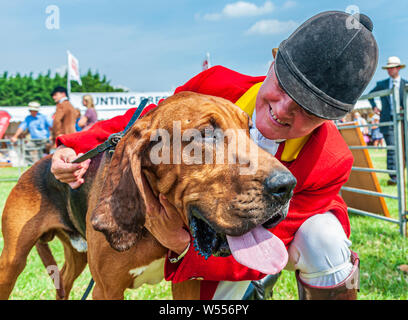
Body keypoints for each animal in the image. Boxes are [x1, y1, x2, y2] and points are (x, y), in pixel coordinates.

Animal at [0, 91, 296, 298]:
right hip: (12, 262)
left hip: (76, 254)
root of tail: (37, 164)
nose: (287, 185)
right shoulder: (106, 290)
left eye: (249, 130)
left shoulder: (187, 285)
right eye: (205, 134)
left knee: (62, 280)